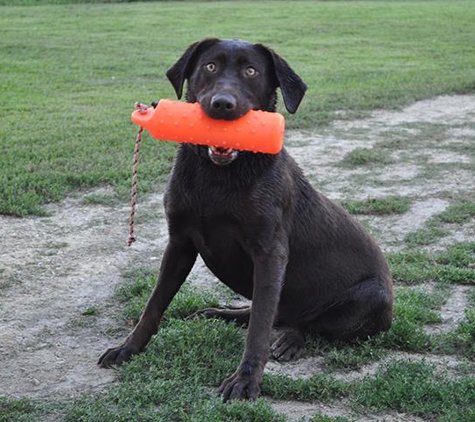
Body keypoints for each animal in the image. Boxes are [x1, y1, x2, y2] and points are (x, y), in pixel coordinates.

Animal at [98, 39, 392, 402]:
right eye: (209, 66)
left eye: (251, 71)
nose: (223, 104)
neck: (217, 178)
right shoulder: (179, 244)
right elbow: (153, 305)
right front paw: (128, 348)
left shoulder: (270, 254)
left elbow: (259, 331)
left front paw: (246, 379)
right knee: (268, 314)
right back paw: (218, 312)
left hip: (371, 297)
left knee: (305, 324)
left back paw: (291, 339)